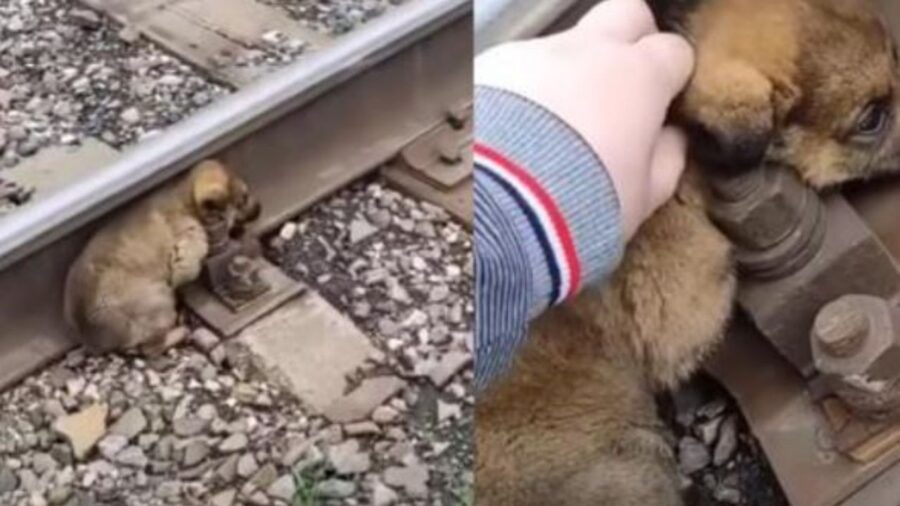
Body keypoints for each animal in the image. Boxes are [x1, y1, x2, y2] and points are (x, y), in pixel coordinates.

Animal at [62, 161, 260, 356]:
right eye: (243, 198)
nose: (260, 208)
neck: (185, 195)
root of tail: (92, 338)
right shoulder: (190, 236)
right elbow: (188, 264)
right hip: (159, 303)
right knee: (151, 347)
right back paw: (181, 331)